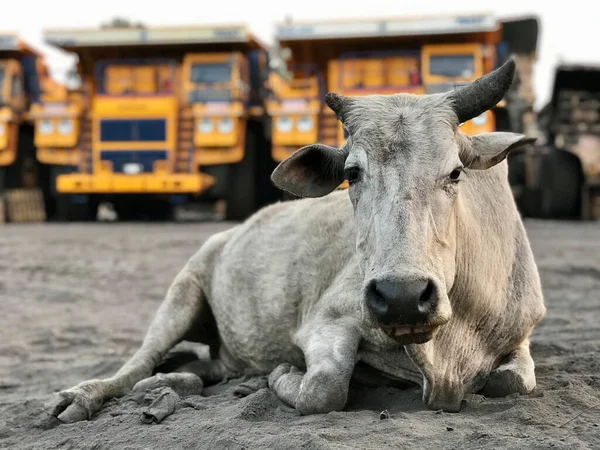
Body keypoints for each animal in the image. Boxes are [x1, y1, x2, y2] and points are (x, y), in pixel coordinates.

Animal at [45, 59, 544, 422]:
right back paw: (85, 397)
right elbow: (322, 391)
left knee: (197, 369)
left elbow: (513, 382)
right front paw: (285, 374)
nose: (401, 296)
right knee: (137, 364)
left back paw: (179, 382)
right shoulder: (327, 320)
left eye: (455, 171)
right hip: (182, 293)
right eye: (351, 174)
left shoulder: (520, 335)